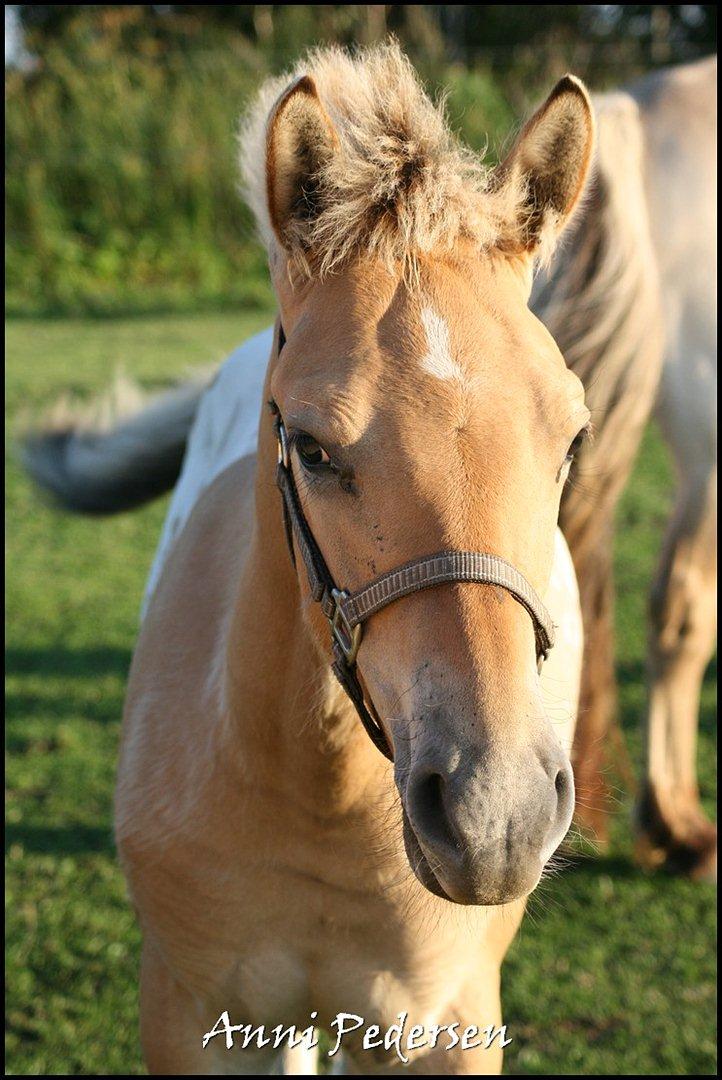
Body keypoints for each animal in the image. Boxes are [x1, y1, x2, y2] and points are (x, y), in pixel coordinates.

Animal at [117, 46, 591, 1075]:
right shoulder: (191, 1012)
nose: (496, 817)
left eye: (572, 438)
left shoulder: (447, 1024)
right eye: (311, 447)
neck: (318, 796)